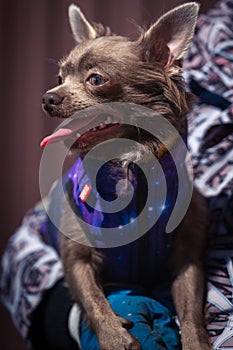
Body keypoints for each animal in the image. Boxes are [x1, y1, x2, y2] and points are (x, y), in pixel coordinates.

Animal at [42, 3, 211, 350]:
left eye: (96, 79)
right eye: (59, 78)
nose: (48, 97)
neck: (129, 164)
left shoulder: (186, 256)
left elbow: (190, 306)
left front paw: (196, 342)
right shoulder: (76, 257)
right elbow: (92, 298)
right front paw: (114, 337)